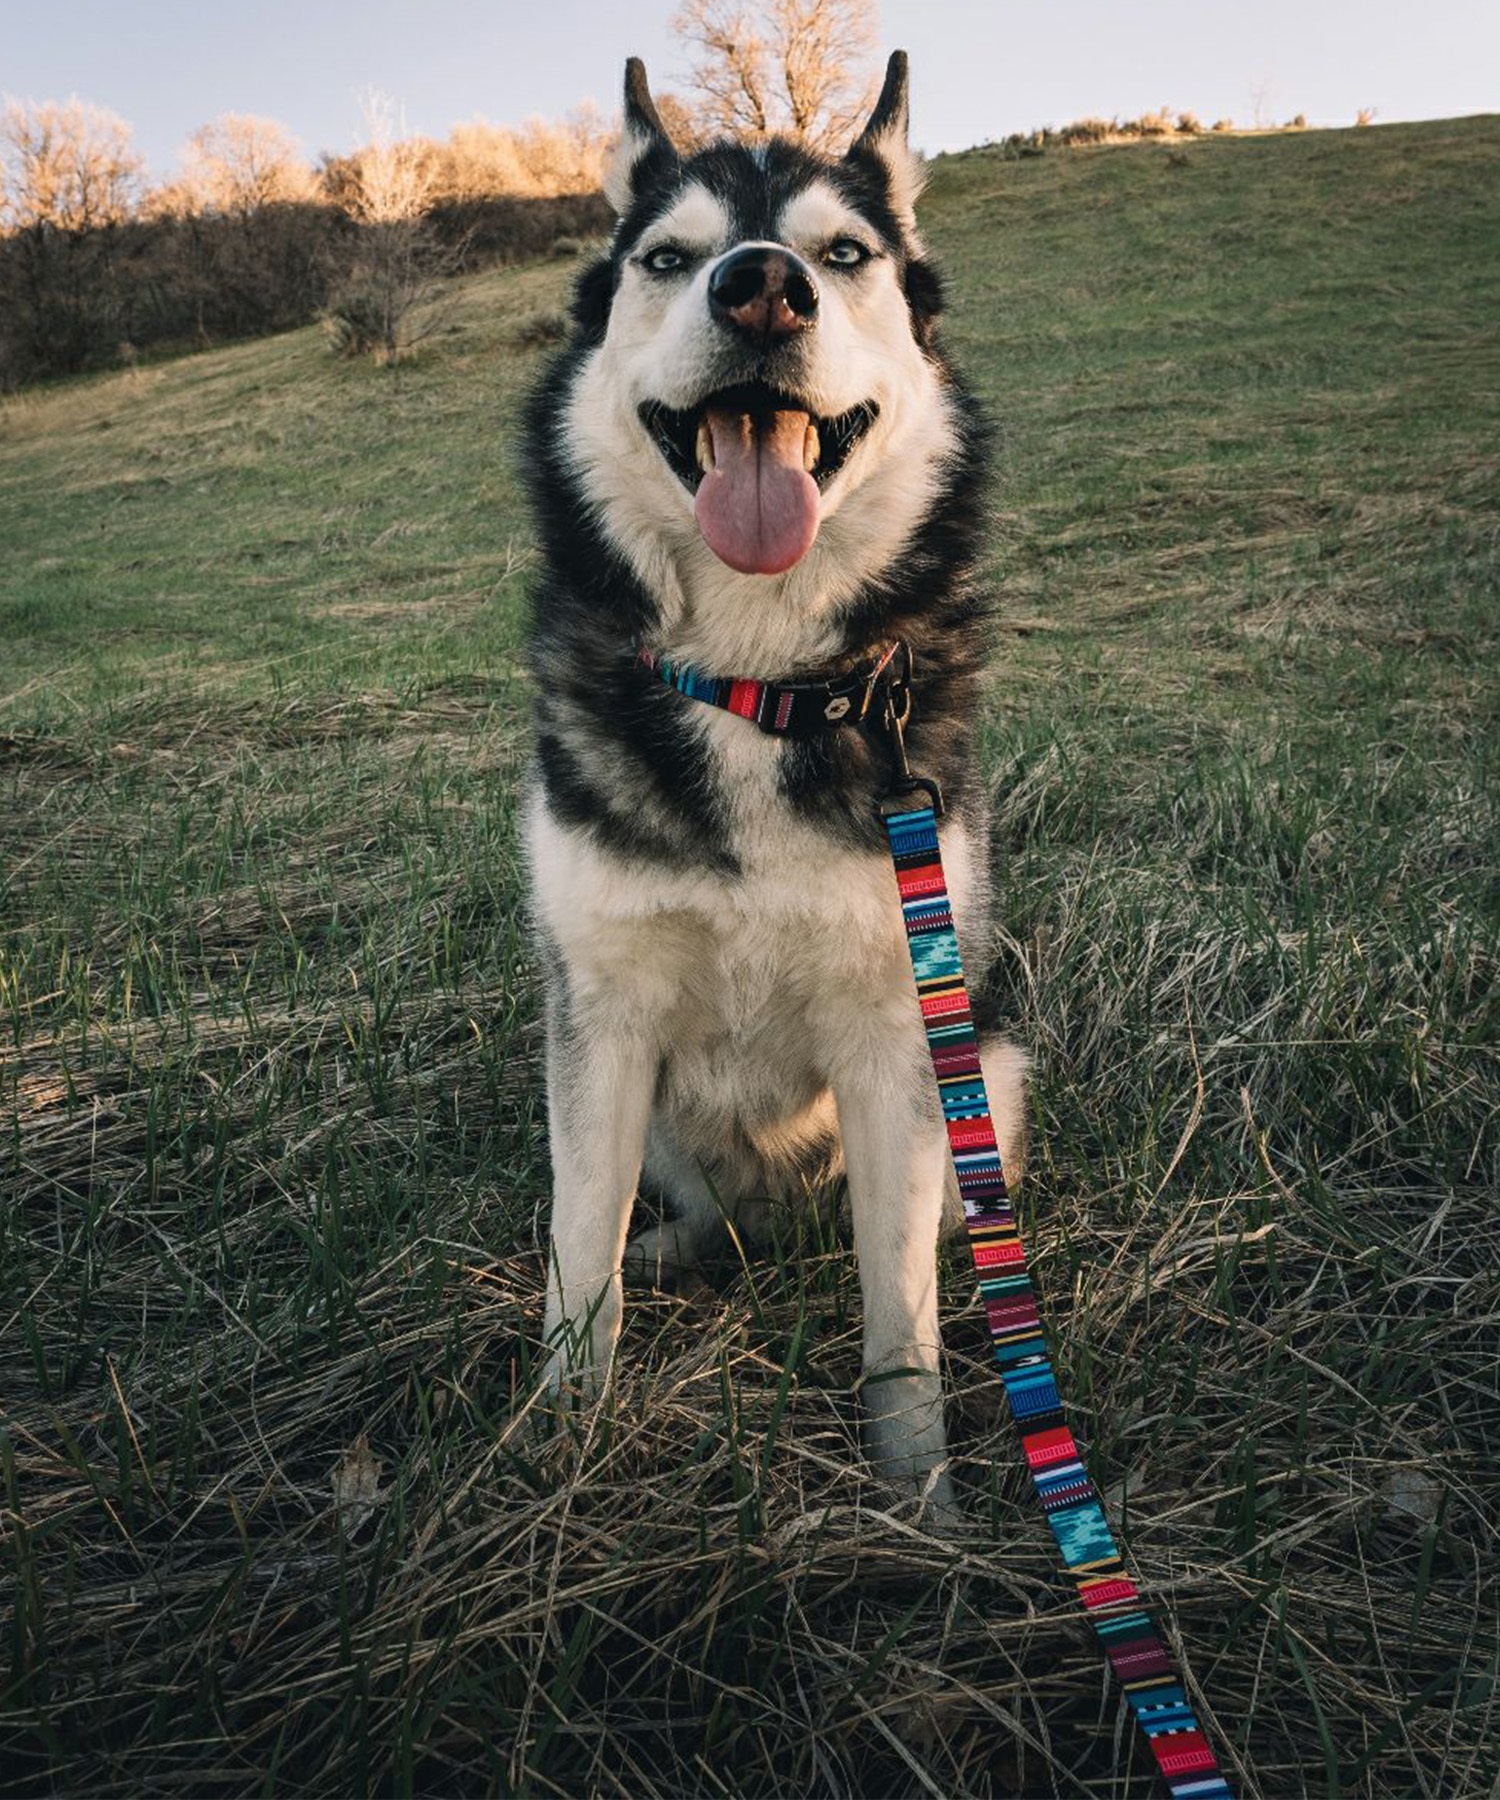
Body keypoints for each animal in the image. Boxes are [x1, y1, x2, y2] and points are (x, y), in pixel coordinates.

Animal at [522, 56, 1022, 1512]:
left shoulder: (900, 1030)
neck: (756, 681)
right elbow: (576, 1251)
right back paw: (679, 1252)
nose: (759, 287)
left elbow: (899, 1317)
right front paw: (560, 1448)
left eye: (841, 255)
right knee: (683, 1217)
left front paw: (919, 1498)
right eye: (669, 258)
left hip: (992, 1064)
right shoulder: (600, 1018)